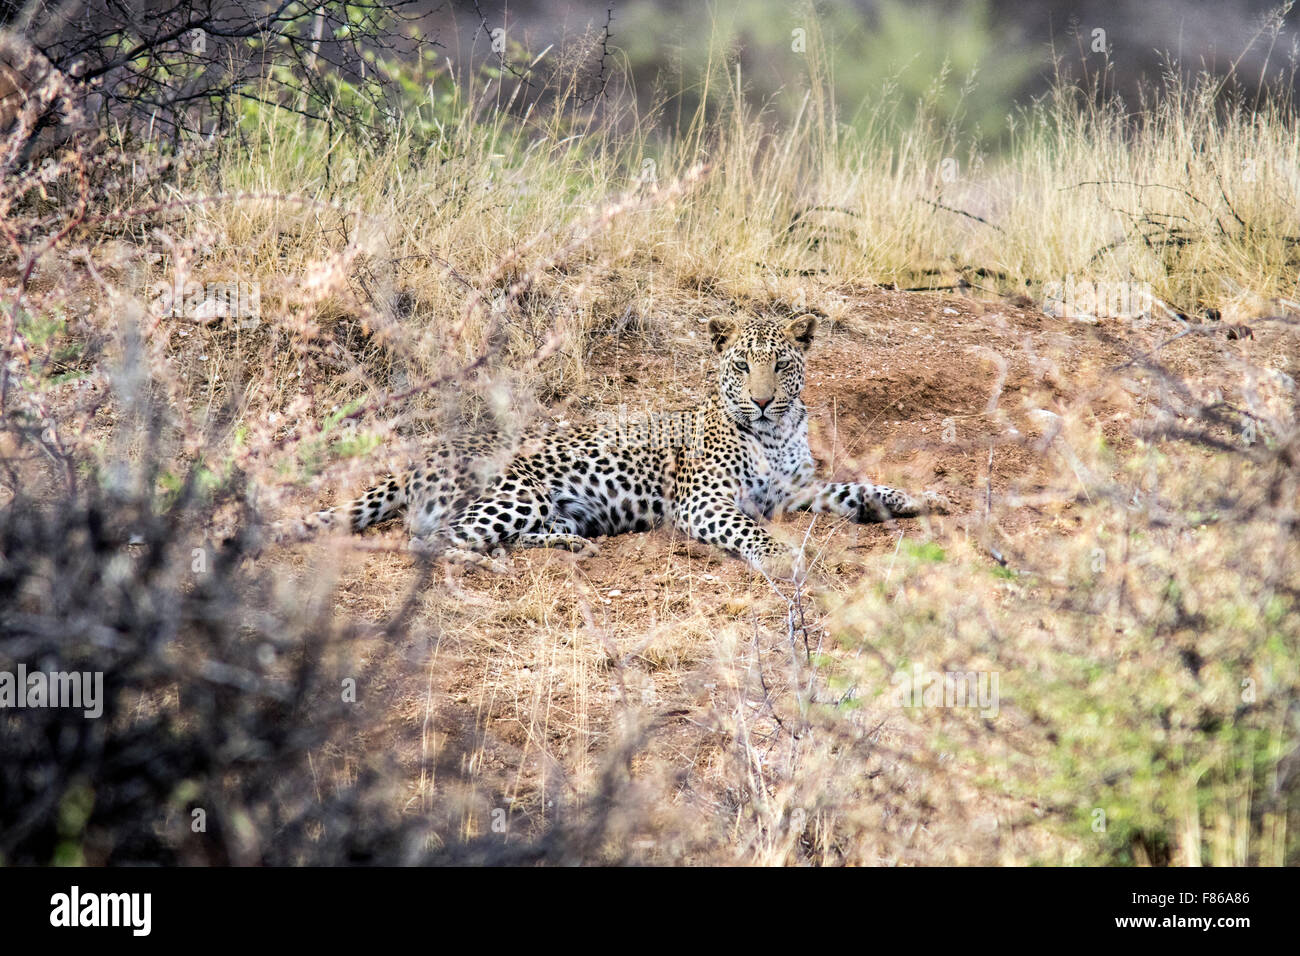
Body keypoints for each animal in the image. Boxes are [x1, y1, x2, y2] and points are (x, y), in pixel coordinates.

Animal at [284, 312, 951, 574]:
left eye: (782, 365)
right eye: (741, 366)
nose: (762, 400)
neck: (776, 432)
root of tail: (424, 456)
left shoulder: (797, 491)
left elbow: (853, 488)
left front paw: (912, 500)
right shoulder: (705, 502)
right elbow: (750, 529)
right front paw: (783, 556)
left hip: (544, 507)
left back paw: (569, 544)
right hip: (516, 491)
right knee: (431, 538)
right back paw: (488, 560)